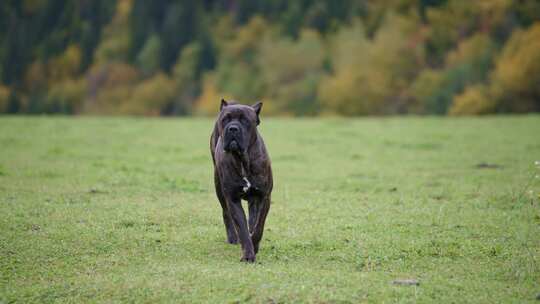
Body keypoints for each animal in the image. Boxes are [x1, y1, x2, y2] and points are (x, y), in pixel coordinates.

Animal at [209, 98, 272, 262]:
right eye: (225, 119)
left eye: (245, 120)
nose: (233, 128)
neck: (243, 159)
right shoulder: (233, 199)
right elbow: (242, 228)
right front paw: (248, 254)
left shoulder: (263, 197)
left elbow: (258, 225)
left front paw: (254, 245)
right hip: (218, 185)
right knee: (226, 213)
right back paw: (232, 237)